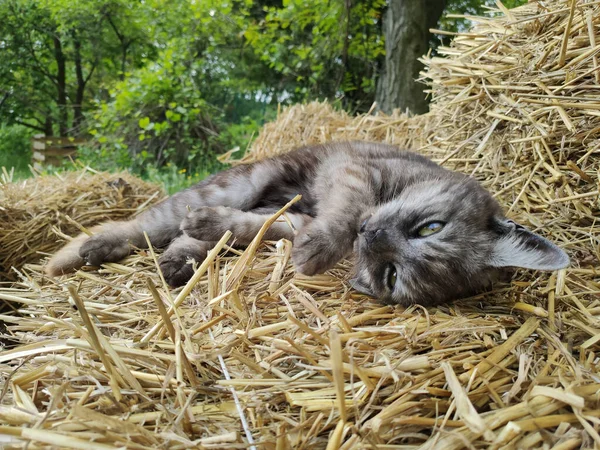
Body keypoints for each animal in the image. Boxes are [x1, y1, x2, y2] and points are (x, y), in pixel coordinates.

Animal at [47, 142, 568, 306]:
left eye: (391, 276)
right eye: (430, 227)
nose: (370, 237)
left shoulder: (293, 217)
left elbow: (254, 229)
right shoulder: (354, 172)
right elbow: (346, 211)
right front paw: (318, 251)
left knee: (184, 235)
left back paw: (182, 258)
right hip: (234, 184)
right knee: (143, 223)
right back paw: (82, 252)